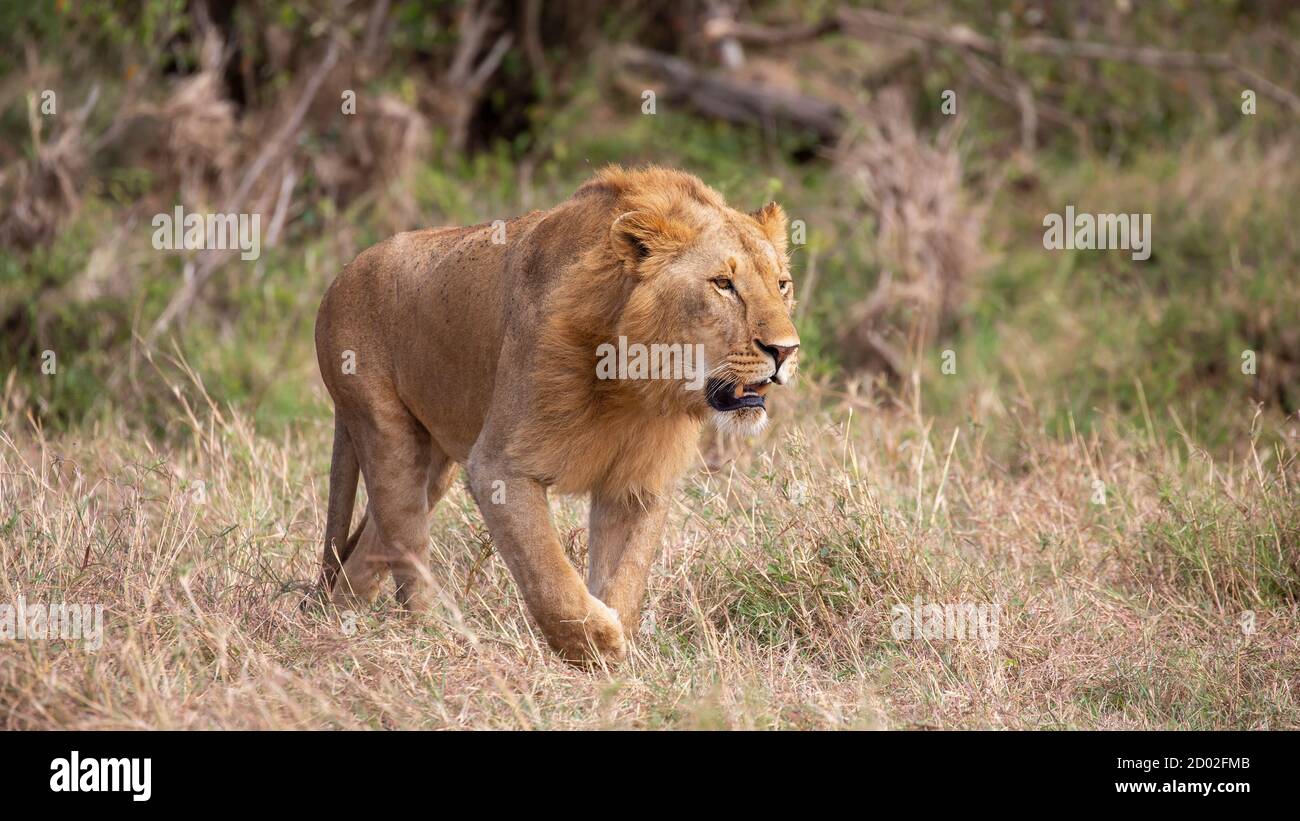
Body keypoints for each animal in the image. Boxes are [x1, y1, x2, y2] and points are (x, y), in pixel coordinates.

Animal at [312, 165, 800, 663]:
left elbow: (626, 577)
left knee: (363, 558)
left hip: (433, 464)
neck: (634, 384)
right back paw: (435, 636)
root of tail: (343, 273)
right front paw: (597, 642)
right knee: (407, 551)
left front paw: (617, 652)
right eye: (723, 284)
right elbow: (547, 572)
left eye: (782, 284)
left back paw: (341, 625)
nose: (785, 350)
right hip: (384, 432)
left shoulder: (638, 481)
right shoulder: (498, 465)